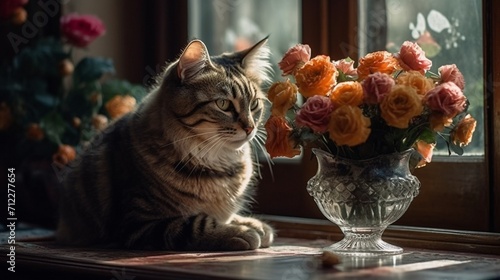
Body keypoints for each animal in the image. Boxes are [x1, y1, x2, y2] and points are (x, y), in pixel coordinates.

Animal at [56, 37, 276, 252]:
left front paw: (252, 224)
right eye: (223, 104)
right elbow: (197, 223)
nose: (250, 128)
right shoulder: (137, 223)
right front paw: (238, 232)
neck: (217, 162)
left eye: (254, 105)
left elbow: (225, 216)